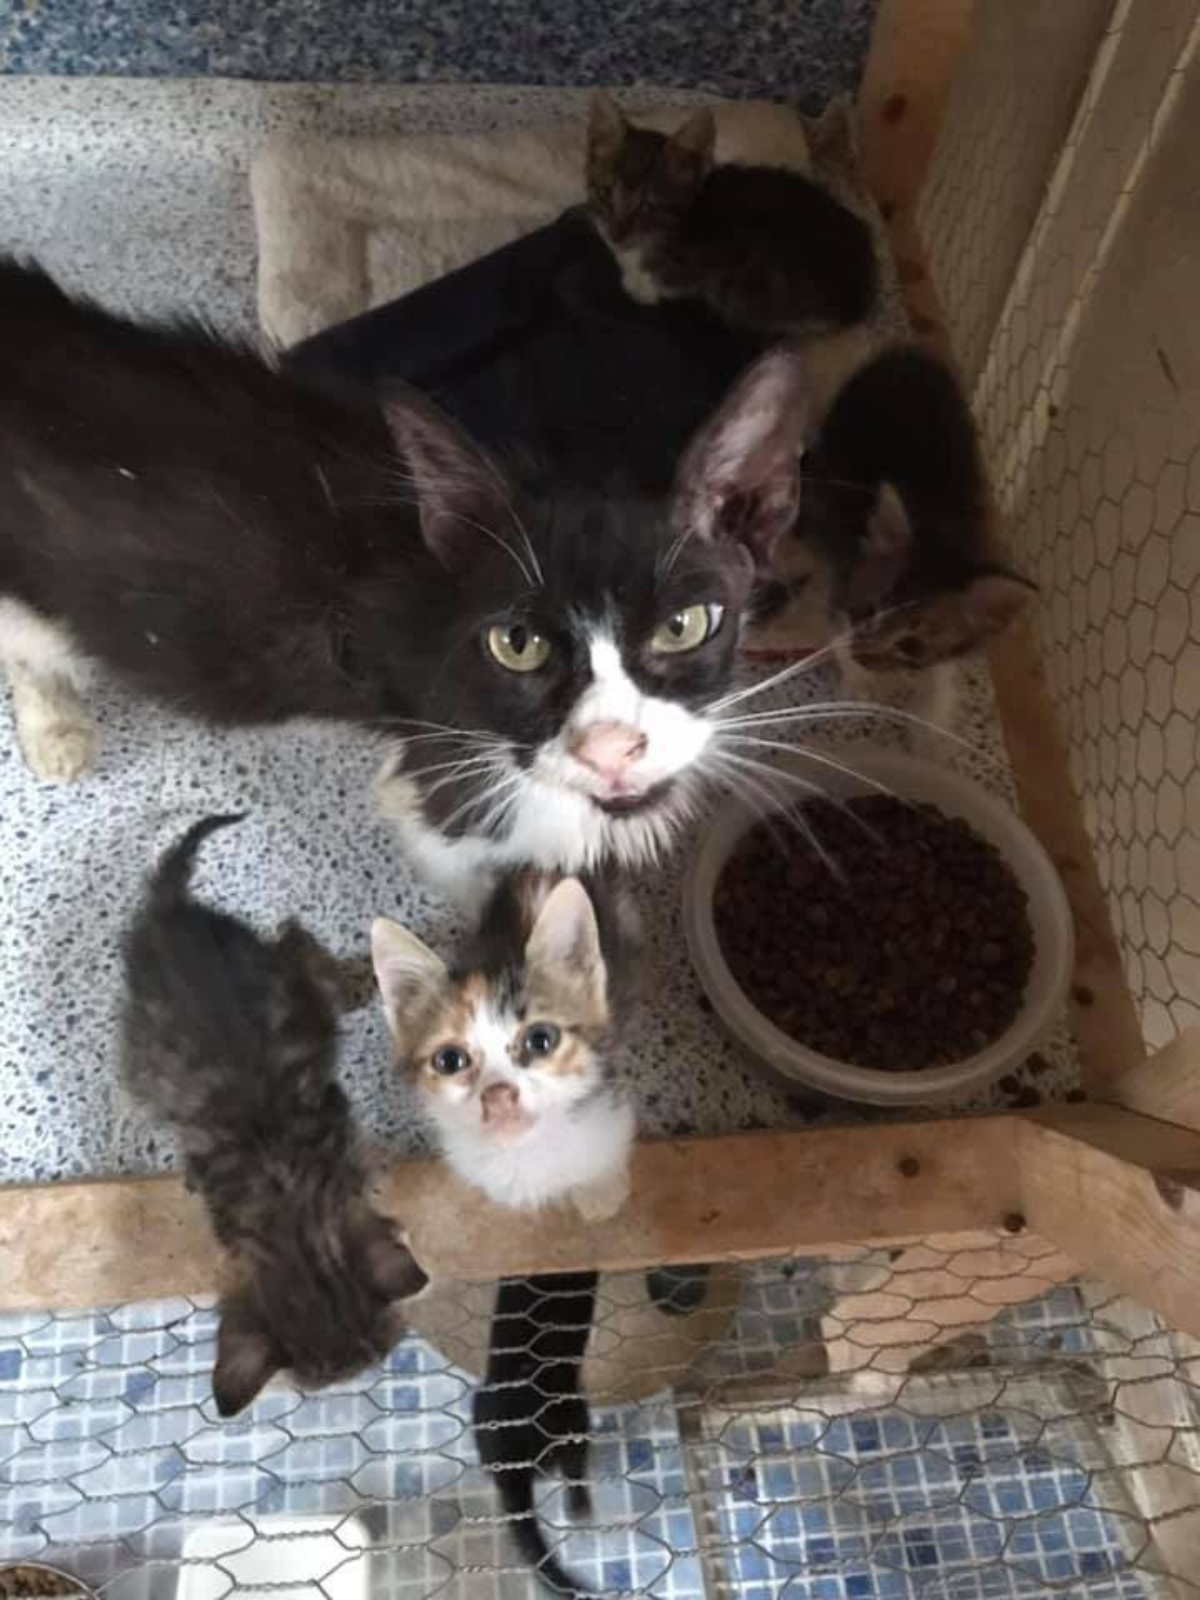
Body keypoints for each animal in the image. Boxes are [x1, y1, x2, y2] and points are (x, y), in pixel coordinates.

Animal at [768, 344, 1035, 744]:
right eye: (867, 611)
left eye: (911, 645)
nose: (863, 656)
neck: (938, 527)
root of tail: (907, 351)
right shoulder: (844, 564)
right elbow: (837, 622)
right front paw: (858, 681)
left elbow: (941, 673)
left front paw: (930, 725)